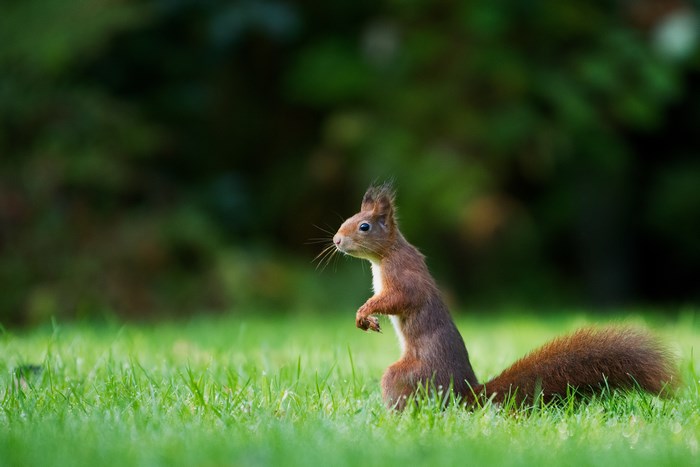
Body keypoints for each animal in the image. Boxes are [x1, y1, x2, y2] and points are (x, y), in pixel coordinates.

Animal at [332, 182, 677, 410]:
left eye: (364, 226)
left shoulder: (404, 277)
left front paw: (365, 312)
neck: (386, 255)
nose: (336, 240)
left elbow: (400, 298)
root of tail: (466, 394)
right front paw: (367, 317)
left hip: (409, 375)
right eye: (346, 221)